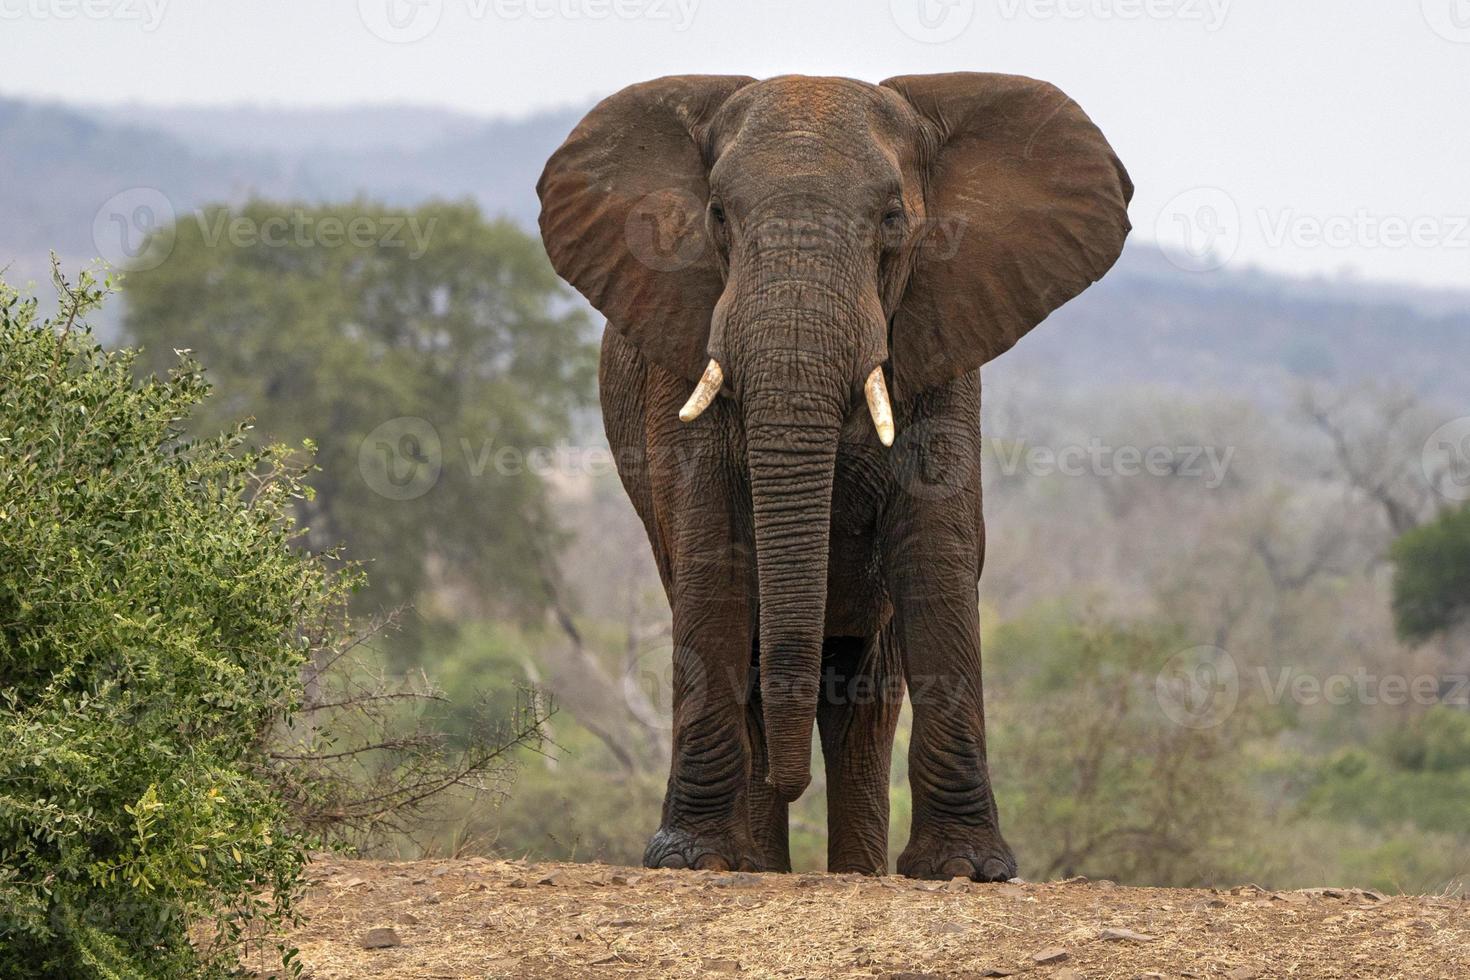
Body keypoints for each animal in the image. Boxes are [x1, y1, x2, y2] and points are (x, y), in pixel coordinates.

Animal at [535, 72, 1128, 875]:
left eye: (892, 220)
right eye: (717, 216)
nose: (790, 785)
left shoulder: (945, 342)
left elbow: (934, 553)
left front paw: (968, 870)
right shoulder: (682, 352)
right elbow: (715, 551)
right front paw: (693, 859)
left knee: (865, 700)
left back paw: (852, 868)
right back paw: (761, 862)